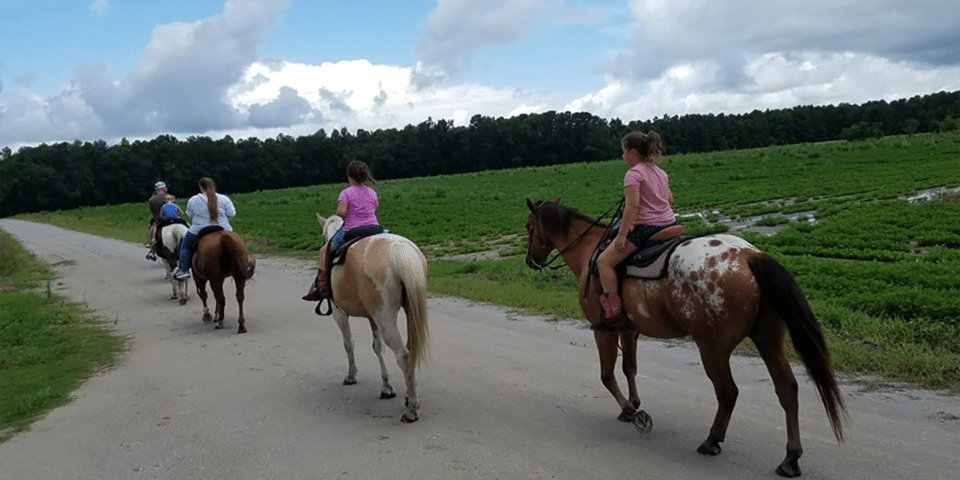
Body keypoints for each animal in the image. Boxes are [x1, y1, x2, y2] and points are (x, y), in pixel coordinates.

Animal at [314, 215, 430, 424]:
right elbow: (377, 348)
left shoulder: (339, 314)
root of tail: (400, 254)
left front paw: (351, 375)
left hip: (386, 319)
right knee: (411, 351)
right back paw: (410, 396)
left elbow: (348, 344)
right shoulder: (372, 317)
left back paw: (412, 409)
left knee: (404, 355)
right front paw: (386, 387)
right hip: (405, 312)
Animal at [524, 198, 848, 476]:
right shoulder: (628, 330)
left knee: (728, 392)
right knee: (787, 389)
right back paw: (790, 459)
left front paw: (633, 413)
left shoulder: (603, 329)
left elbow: (606, 375)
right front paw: (633, 405)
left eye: (528, 226)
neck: (591, 248)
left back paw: (712, 441)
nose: (530, 260)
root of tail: (750, 257)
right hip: (768, 339)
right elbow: (630, 369)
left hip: (712, 347)